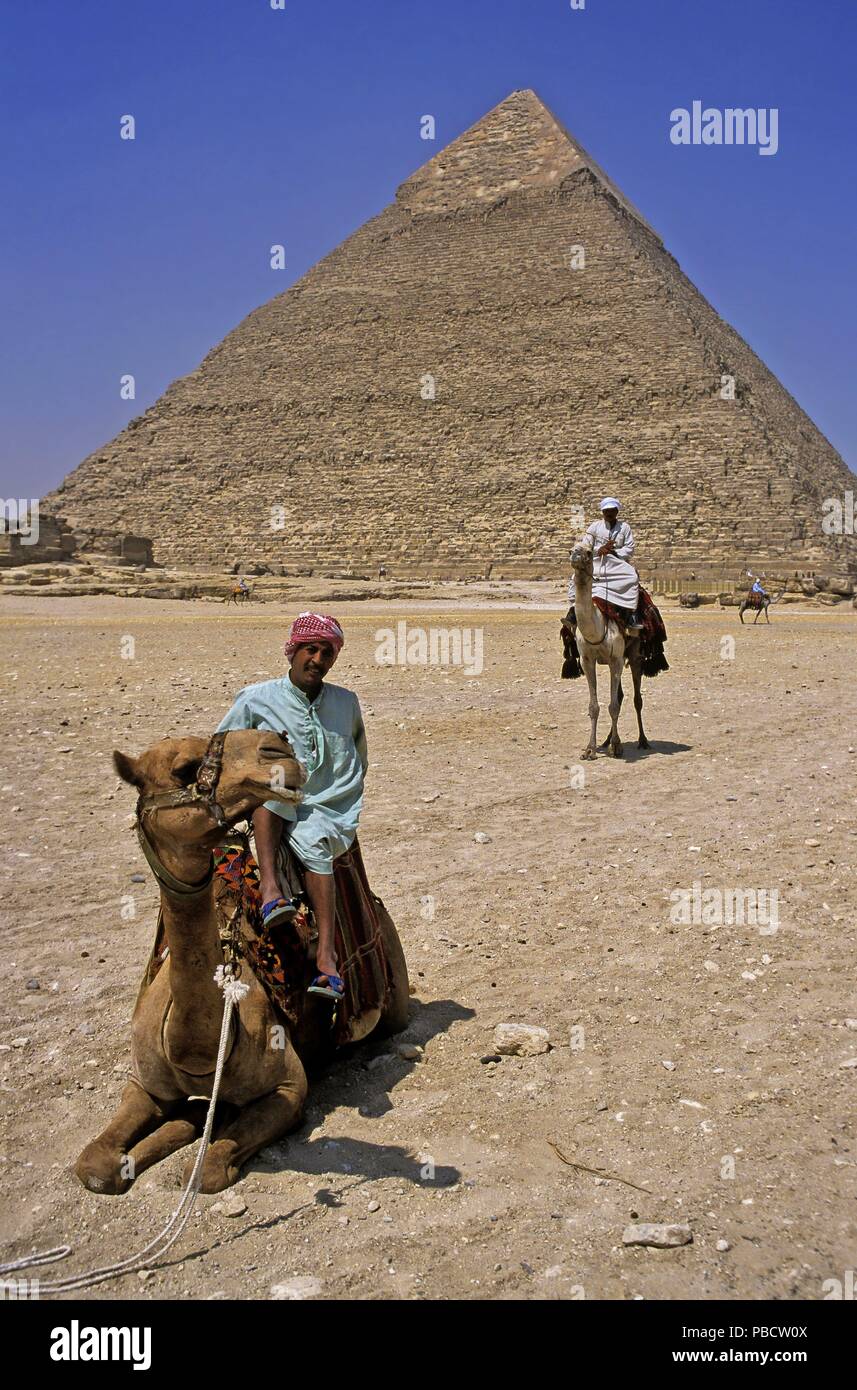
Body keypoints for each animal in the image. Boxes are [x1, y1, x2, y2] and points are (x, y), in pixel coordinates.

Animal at [74, 728, 408, 1195]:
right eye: (184, 768)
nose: (277, 749)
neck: (196, 1054)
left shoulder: (288, 1086)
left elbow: (207, 1171)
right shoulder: (142, 1083)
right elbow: (94, 1165)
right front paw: (154, 1142)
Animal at [563, 536, 644, 767]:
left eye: (590, 552)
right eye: (571, 549)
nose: (575, 555)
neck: (597, 624)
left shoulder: (616, 659)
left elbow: (614, 706)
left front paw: (616, 747)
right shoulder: (586, 660)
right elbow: (594, 706)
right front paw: (590, 749)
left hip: (634, 655)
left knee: (636, 699)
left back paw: (642, 741)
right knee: (621, 696)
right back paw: (606, 740)